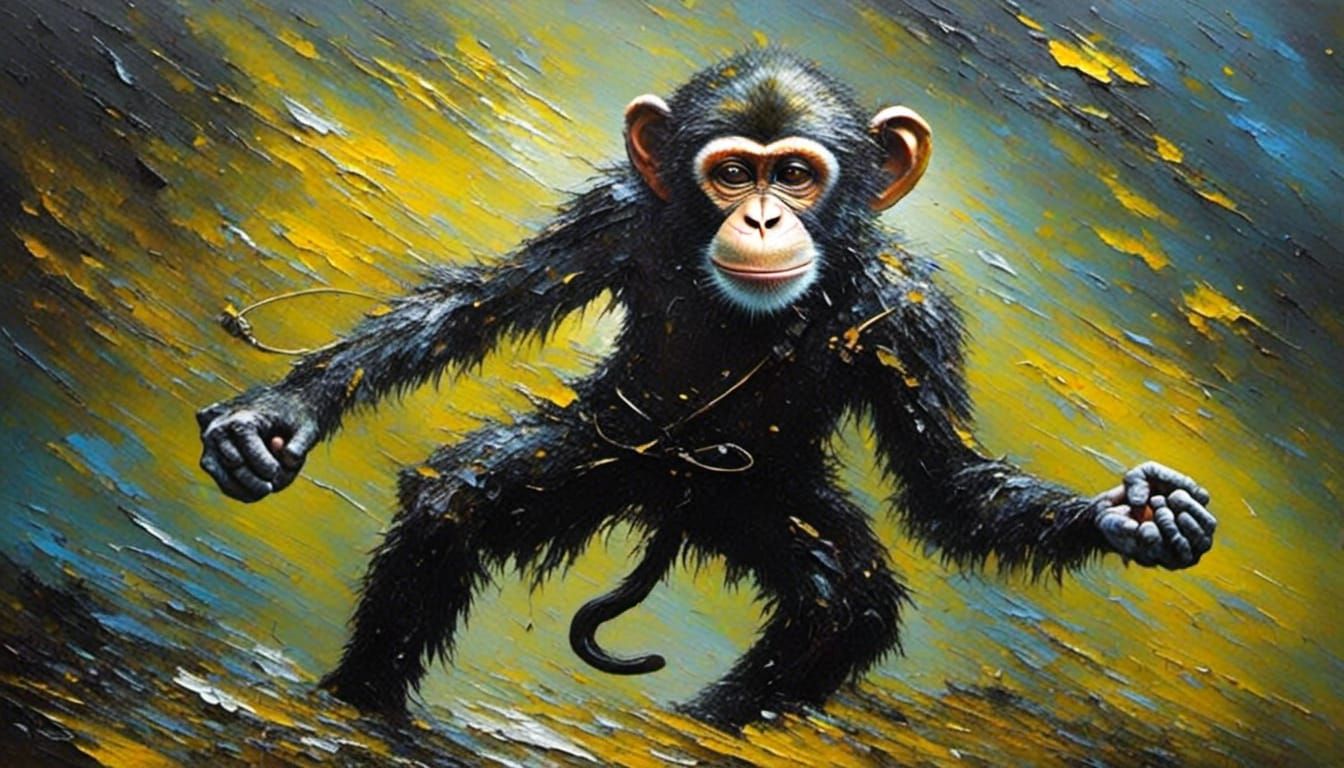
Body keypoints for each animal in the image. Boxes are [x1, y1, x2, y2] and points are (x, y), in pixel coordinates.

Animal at [195, 49, 1216, 731]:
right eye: (732, 172)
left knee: (844, 605)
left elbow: (946, 481)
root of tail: (667, 501)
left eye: (795, 174)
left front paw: (1135, 516)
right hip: (606, 446)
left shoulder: (913, 318)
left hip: (757, 497)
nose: (762, 217)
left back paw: (715, 715)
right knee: (456, 504)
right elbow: (476, 306)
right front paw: (276, 416)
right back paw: (365, 702)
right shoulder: (612, 216)